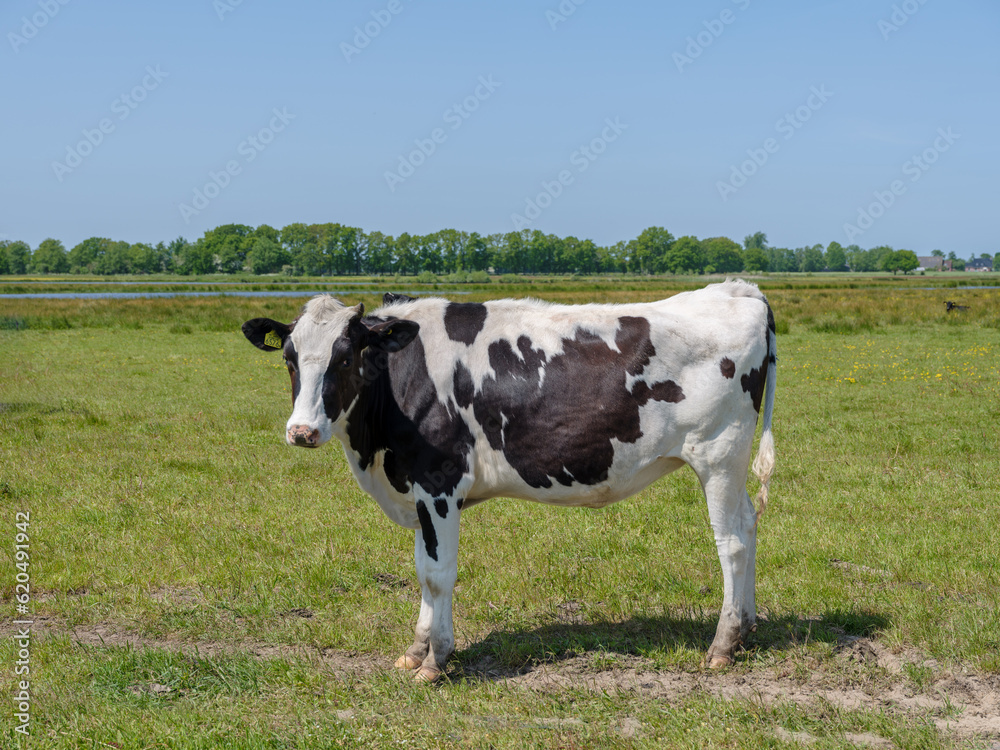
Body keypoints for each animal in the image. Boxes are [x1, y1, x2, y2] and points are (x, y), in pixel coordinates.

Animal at [242, 280, 772, 680]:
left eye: (346, 357)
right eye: (289, 359)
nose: (302, 431)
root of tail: (735, 289)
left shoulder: (439, 483)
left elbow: (439, 574)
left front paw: (436, 661)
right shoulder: (418, 490)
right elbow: (423, 569)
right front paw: (415, 651)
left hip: (719, 454)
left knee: (731, 541)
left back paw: (723, 644)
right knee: (749, 525)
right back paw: (746, 629)